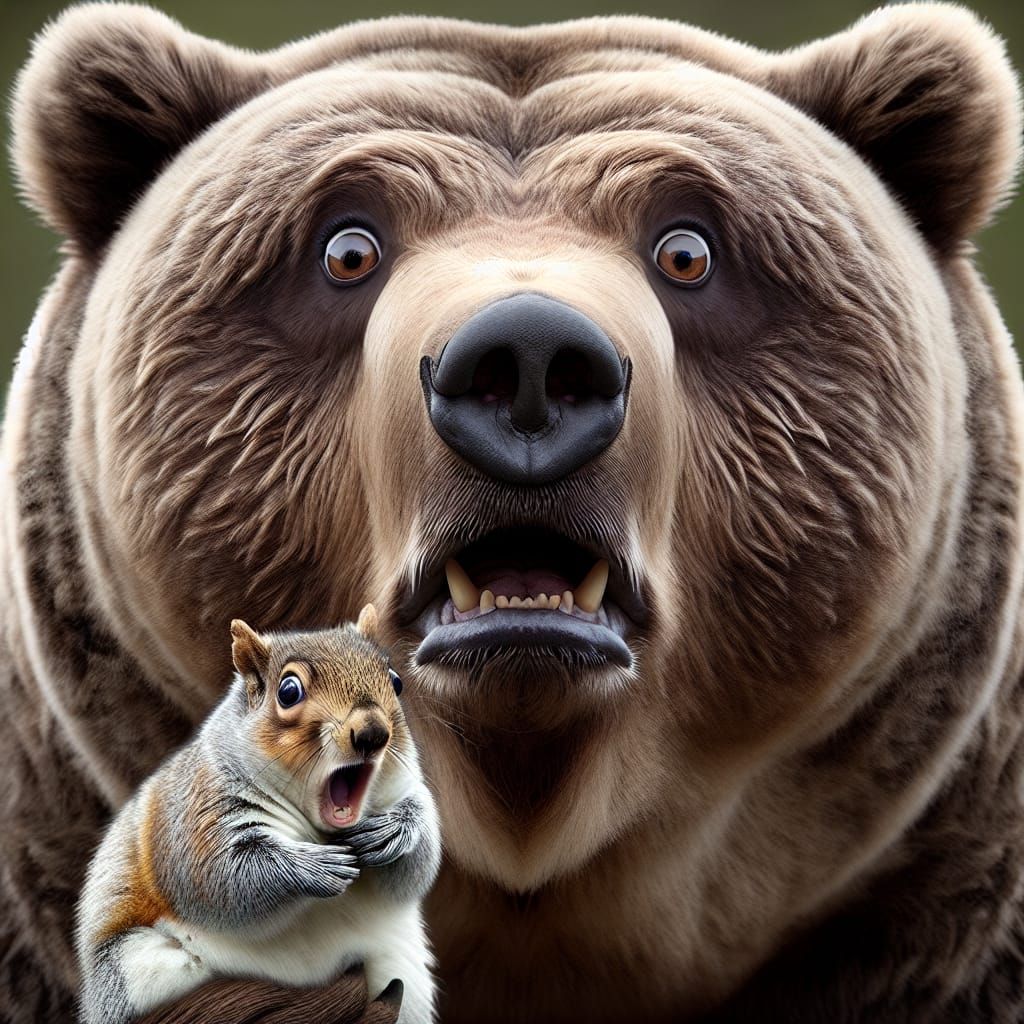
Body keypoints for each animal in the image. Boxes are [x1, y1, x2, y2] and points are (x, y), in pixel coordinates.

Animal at [76, 604, 440, 1024]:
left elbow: (414, 869)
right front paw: (314, 867)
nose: (373, 733)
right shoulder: (195, 810)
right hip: (138, 972)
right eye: (289, 691)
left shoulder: (405, 786)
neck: (319, 828)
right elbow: (218, 873)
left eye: (396, 682)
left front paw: (395, 832)